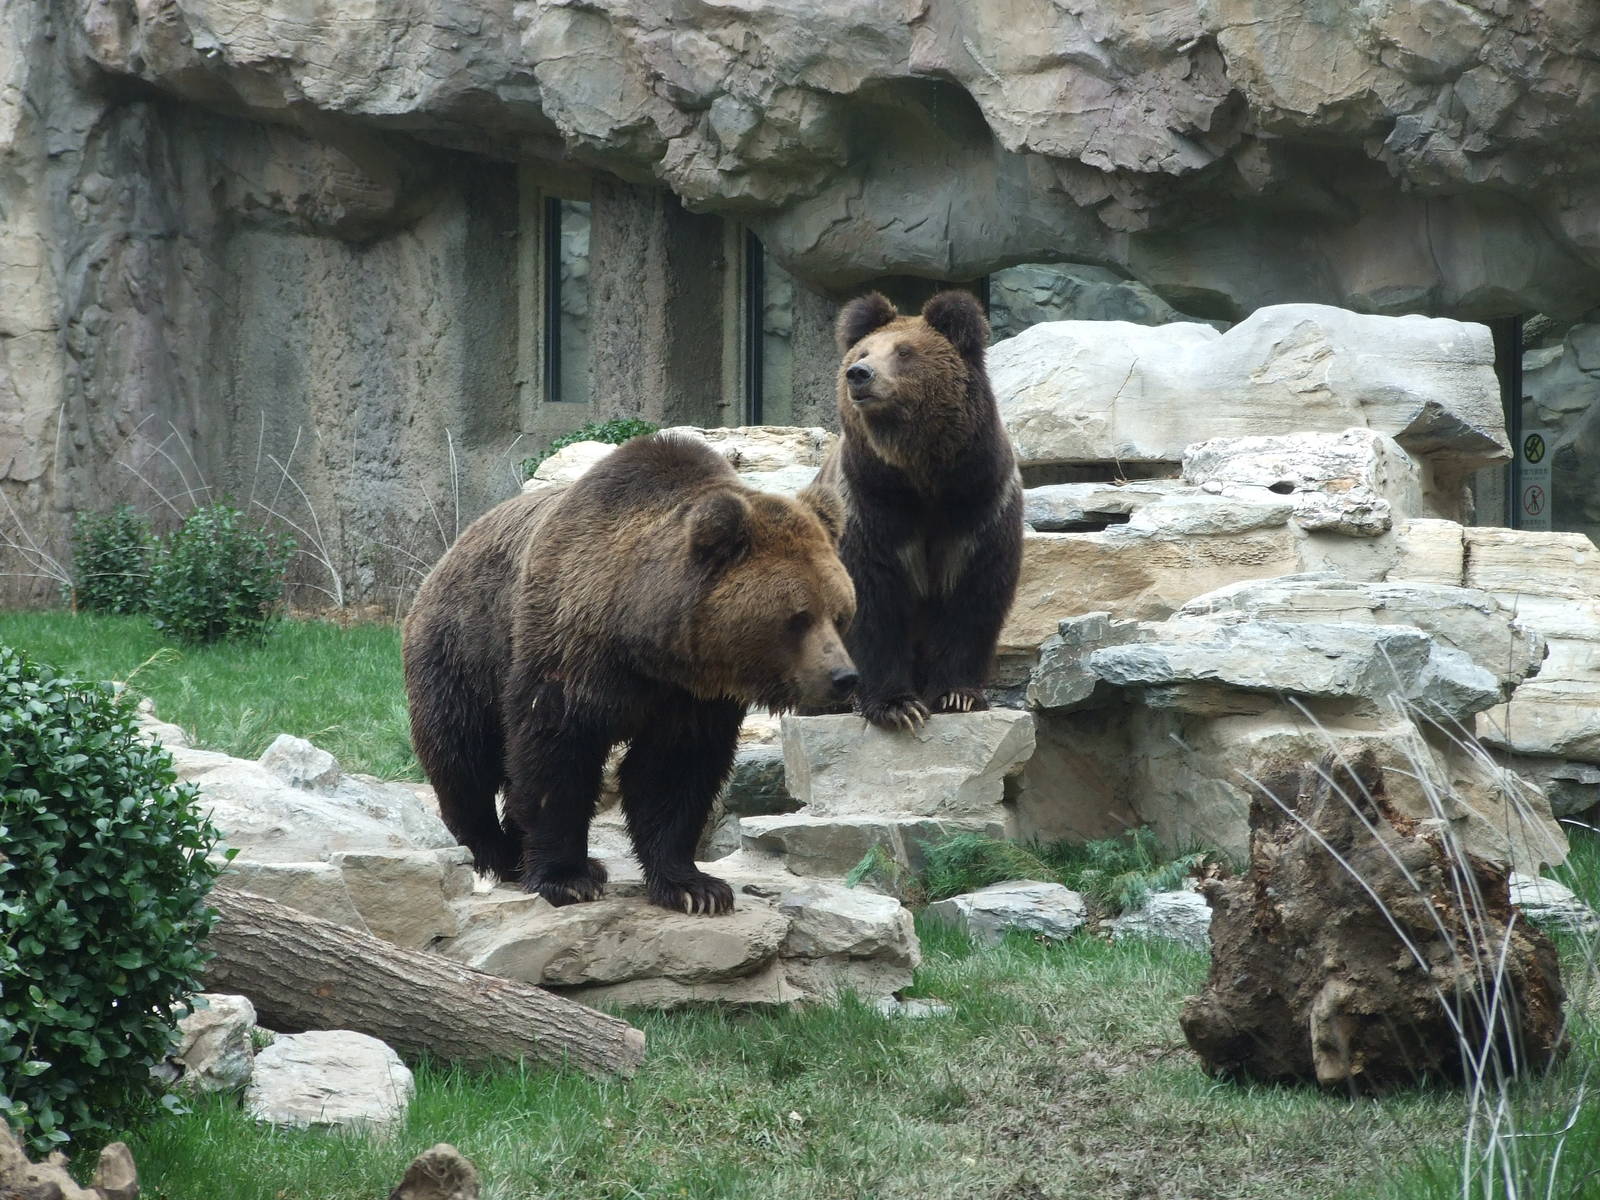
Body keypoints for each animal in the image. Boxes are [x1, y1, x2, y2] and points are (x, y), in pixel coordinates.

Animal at [403, 433, 857, 915]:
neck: (643, 639)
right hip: (464, 649)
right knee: (462, 754)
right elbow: (555, 753)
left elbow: (674, 773)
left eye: (840, 614)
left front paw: (696, 887)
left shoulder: (690, 697)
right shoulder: (567, 651)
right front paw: (567, 878)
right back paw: (495, 854)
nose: (843, 677)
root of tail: (449, 551)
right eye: (798, 618)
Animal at [801, 289, 1023, 732]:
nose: (859, 374)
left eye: (904, 352)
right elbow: (872, 598)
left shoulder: (980, 503)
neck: (920, 475)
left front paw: (958, 695)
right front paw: (898, 705)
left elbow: (974, 596)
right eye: (864, 350)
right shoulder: (870, 505)